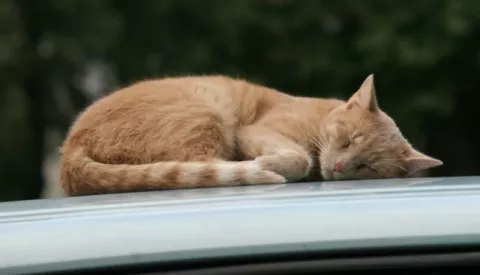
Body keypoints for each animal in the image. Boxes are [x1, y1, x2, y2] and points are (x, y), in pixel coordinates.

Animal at [60, 74, 442, 197]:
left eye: (367, 167)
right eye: (347, 139)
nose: (339, 168)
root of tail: (69, 151)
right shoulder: (253, 132)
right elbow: (299, 158)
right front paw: (272, 163)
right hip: (208, 112)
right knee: (202, 167)